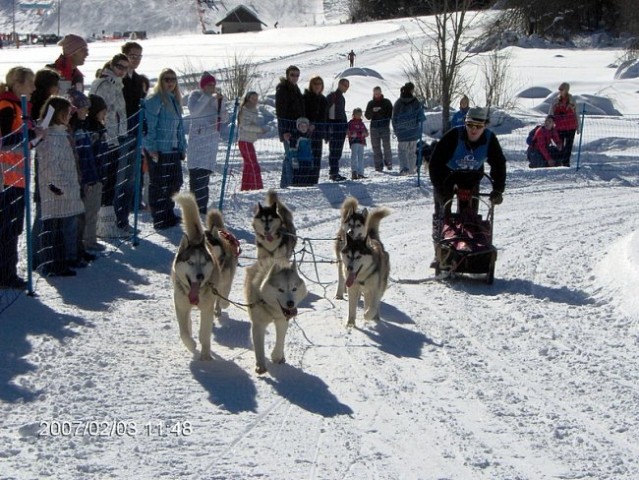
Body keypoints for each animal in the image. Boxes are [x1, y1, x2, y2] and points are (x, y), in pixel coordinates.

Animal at [171, 192, 239, 360]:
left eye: (203, 261)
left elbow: (204, 334)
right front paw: (191, 345)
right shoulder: (181, 306)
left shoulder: (208, 306)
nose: (200, 276)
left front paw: (206, 356)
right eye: (190, 262)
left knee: (220, 298)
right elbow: (184, 332)